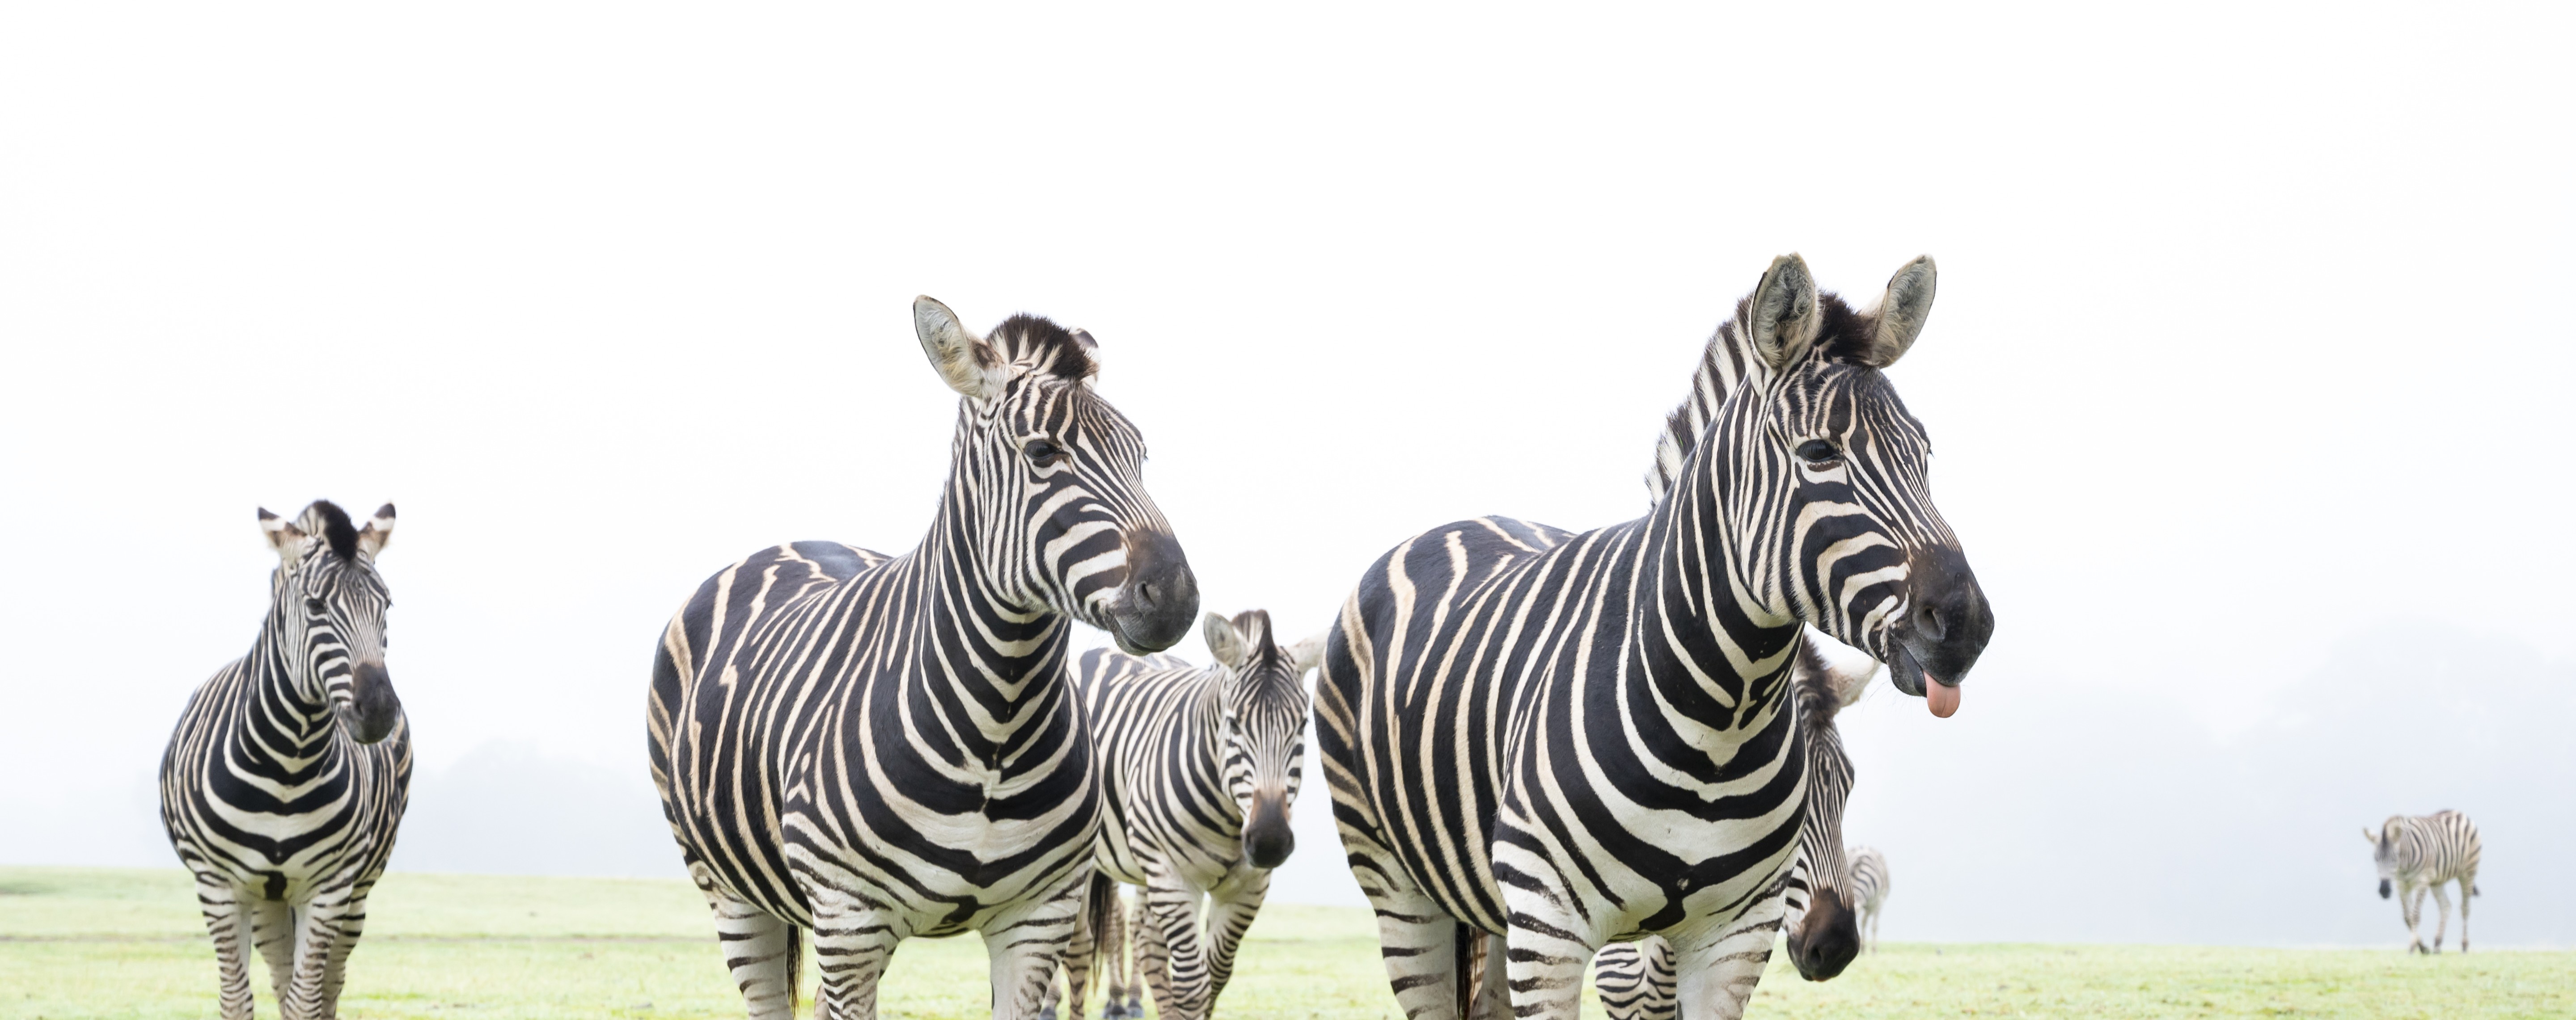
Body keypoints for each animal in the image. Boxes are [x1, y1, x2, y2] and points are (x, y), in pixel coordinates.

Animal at [160, 500, 406, 1020]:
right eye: (315, 607)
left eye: (387, 605)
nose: (378, 711)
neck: (287, 765)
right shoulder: (219, 886)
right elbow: (238, 1001)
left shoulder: (330, 888)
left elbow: (306, 1002)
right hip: (267, 900)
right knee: (279, 974)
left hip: (357, 891)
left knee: (328, 984)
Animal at [647, 297, 1200, 1020]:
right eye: (1043, 452)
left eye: (1141, 456)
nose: (1176, 597)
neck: (999, 721)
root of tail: (787, 543)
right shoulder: (850, 919)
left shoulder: (1037, 919)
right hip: (730, 891)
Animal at [1044, 610, 1325, 1020]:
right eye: (1233, 723)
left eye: (1302, 725)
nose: (1269, 841)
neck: (1229, 819)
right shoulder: (1172, 874)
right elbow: (1192, 986)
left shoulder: (1248, 887)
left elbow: (1216, 976)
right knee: (1079, 949)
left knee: (1143, 940)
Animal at [1846, 847, 1889, 955]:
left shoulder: (1879, 901)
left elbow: (1874, 926)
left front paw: (1874, 951)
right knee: (1864, 921)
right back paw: (1863, 948)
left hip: (1871, 904)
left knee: (1865, 921)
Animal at [2366, 811, 2481, 953]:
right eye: (2376, 859)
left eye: (2395, 859)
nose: (2384, 890)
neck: (2404, 865)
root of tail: (2457, 812)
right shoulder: (2402, 884)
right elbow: (2407, 917)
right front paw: (2423, 947)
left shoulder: (2422, 880)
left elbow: (2415, 915)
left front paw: (2412, 947)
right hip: (2437, 881)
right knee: (2446, 906)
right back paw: (2437, 945)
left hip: (2468, 872)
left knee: (2465, 908)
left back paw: (2464, 946)